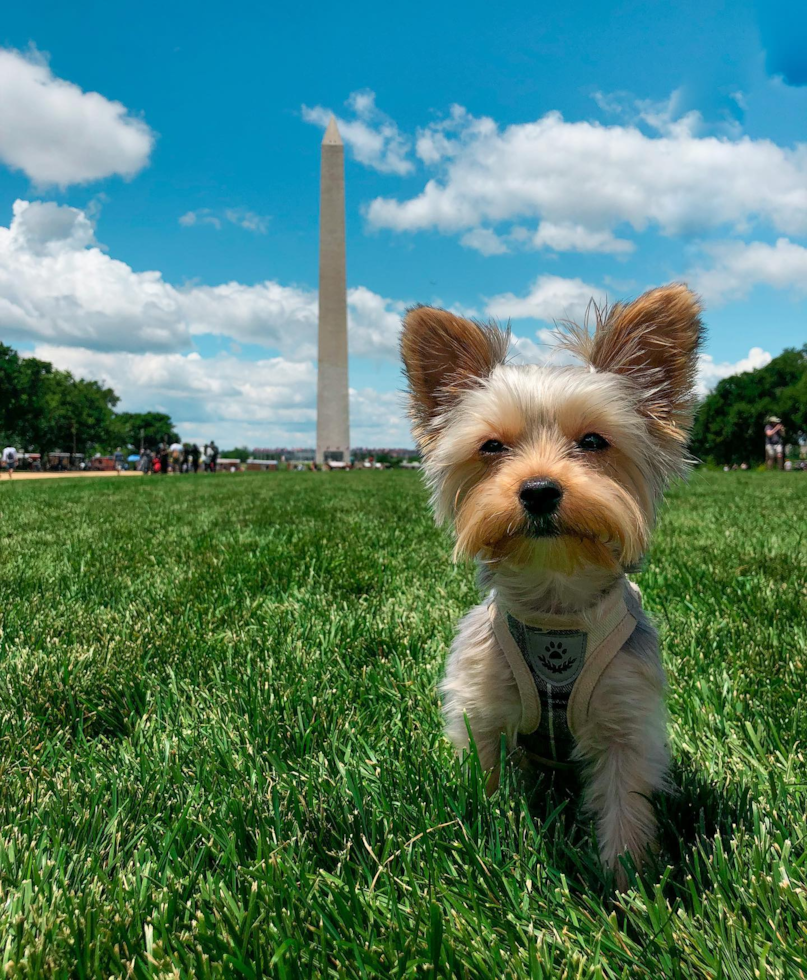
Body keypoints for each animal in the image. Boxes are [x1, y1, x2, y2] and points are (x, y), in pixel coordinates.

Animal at [400, 282, 704, 880]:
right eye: (492, 447)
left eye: (593, 441)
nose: (539, 490)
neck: (556, 598)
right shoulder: (483, 707)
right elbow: (489, 780)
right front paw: (492, 838)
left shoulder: (627, 720)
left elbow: (624, 804)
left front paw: (625, 881)